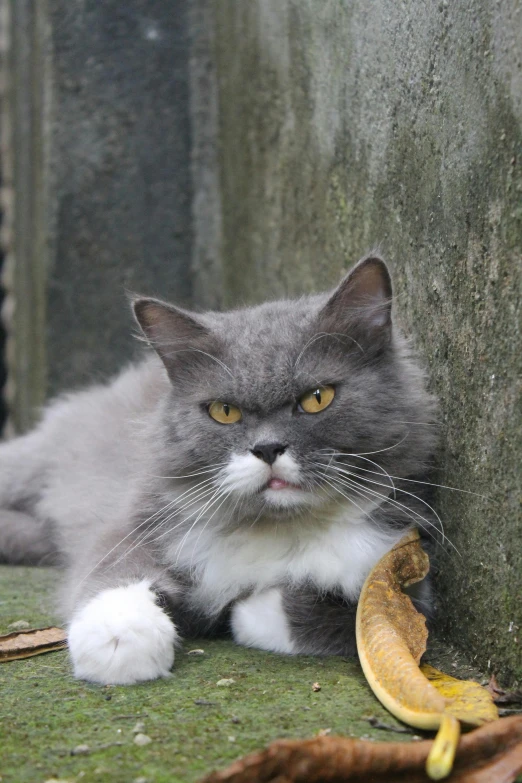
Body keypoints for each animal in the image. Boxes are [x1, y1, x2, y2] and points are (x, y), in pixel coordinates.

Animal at [0, 258, 438, 688]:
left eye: (318, 398)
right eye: (224, 411)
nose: (267, 448)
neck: (275, 526)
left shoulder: (400, 580)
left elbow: (333, 615)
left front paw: (244, 611)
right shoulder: (133, 524)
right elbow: (116, 572)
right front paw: (119, 642)